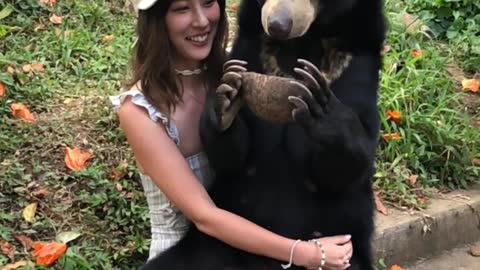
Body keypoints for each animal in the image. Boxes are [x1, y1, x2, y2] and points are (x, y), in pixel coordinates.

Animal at [142, 0, 386, 268]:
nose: (278, 25)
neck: (303, 41)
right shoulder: (251, 48)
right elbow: (233, 157)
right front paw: (224, 101)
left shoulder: (354, 62)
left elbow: (344, 167)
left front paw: (322, 107)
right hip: (214, 245)